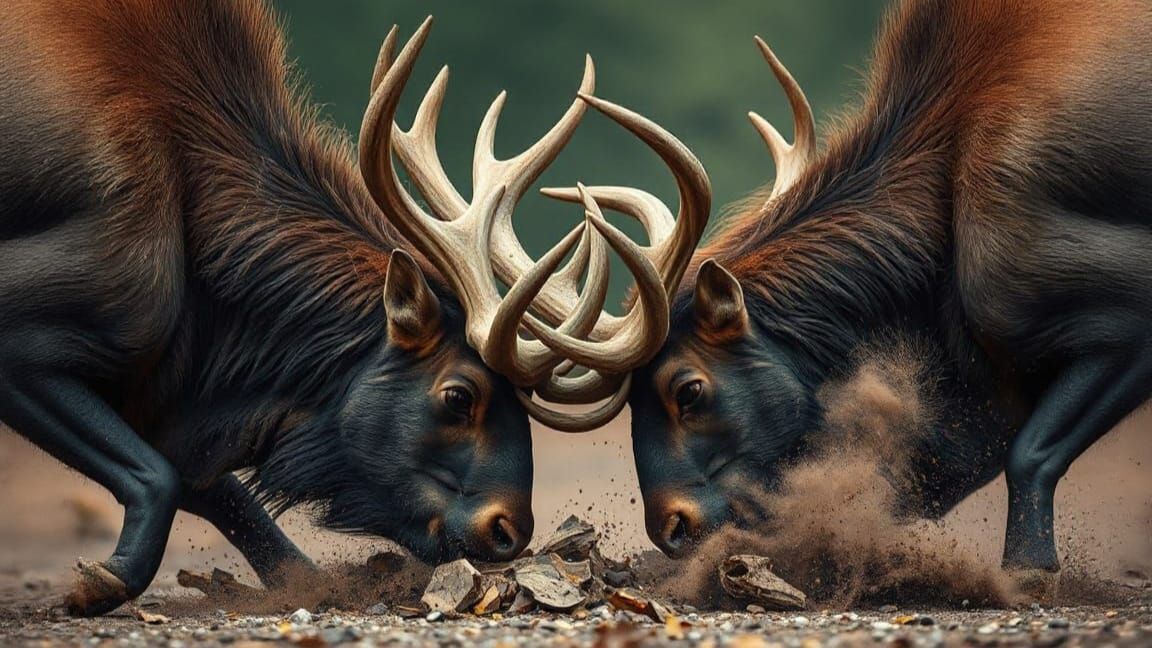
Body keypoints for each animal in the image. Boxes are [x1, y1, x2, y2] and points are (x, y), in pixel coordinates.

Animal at [0, 0, 704, 615]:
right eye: (459, 394)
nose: (508, 531)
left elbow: (219, 494)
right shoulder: (27, 330)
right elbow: (161, 475)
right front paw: (102, 582)